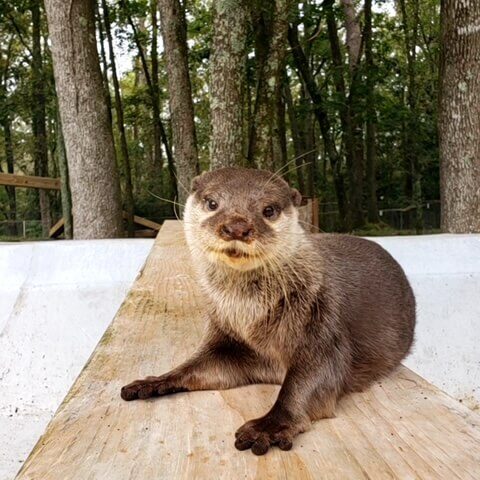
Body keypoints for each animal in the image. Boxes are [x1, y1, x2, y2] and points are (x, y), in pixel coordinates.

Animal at [121, 167, 416, 456]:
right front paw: (154, 380)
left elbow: (307, 382)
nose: (237, 227)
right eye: (212, 203)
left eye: (269, 210)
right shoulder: (228, 338)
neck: (251, 314)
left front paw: (269, 426)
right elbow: (195, 367)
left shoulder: (324, 326)